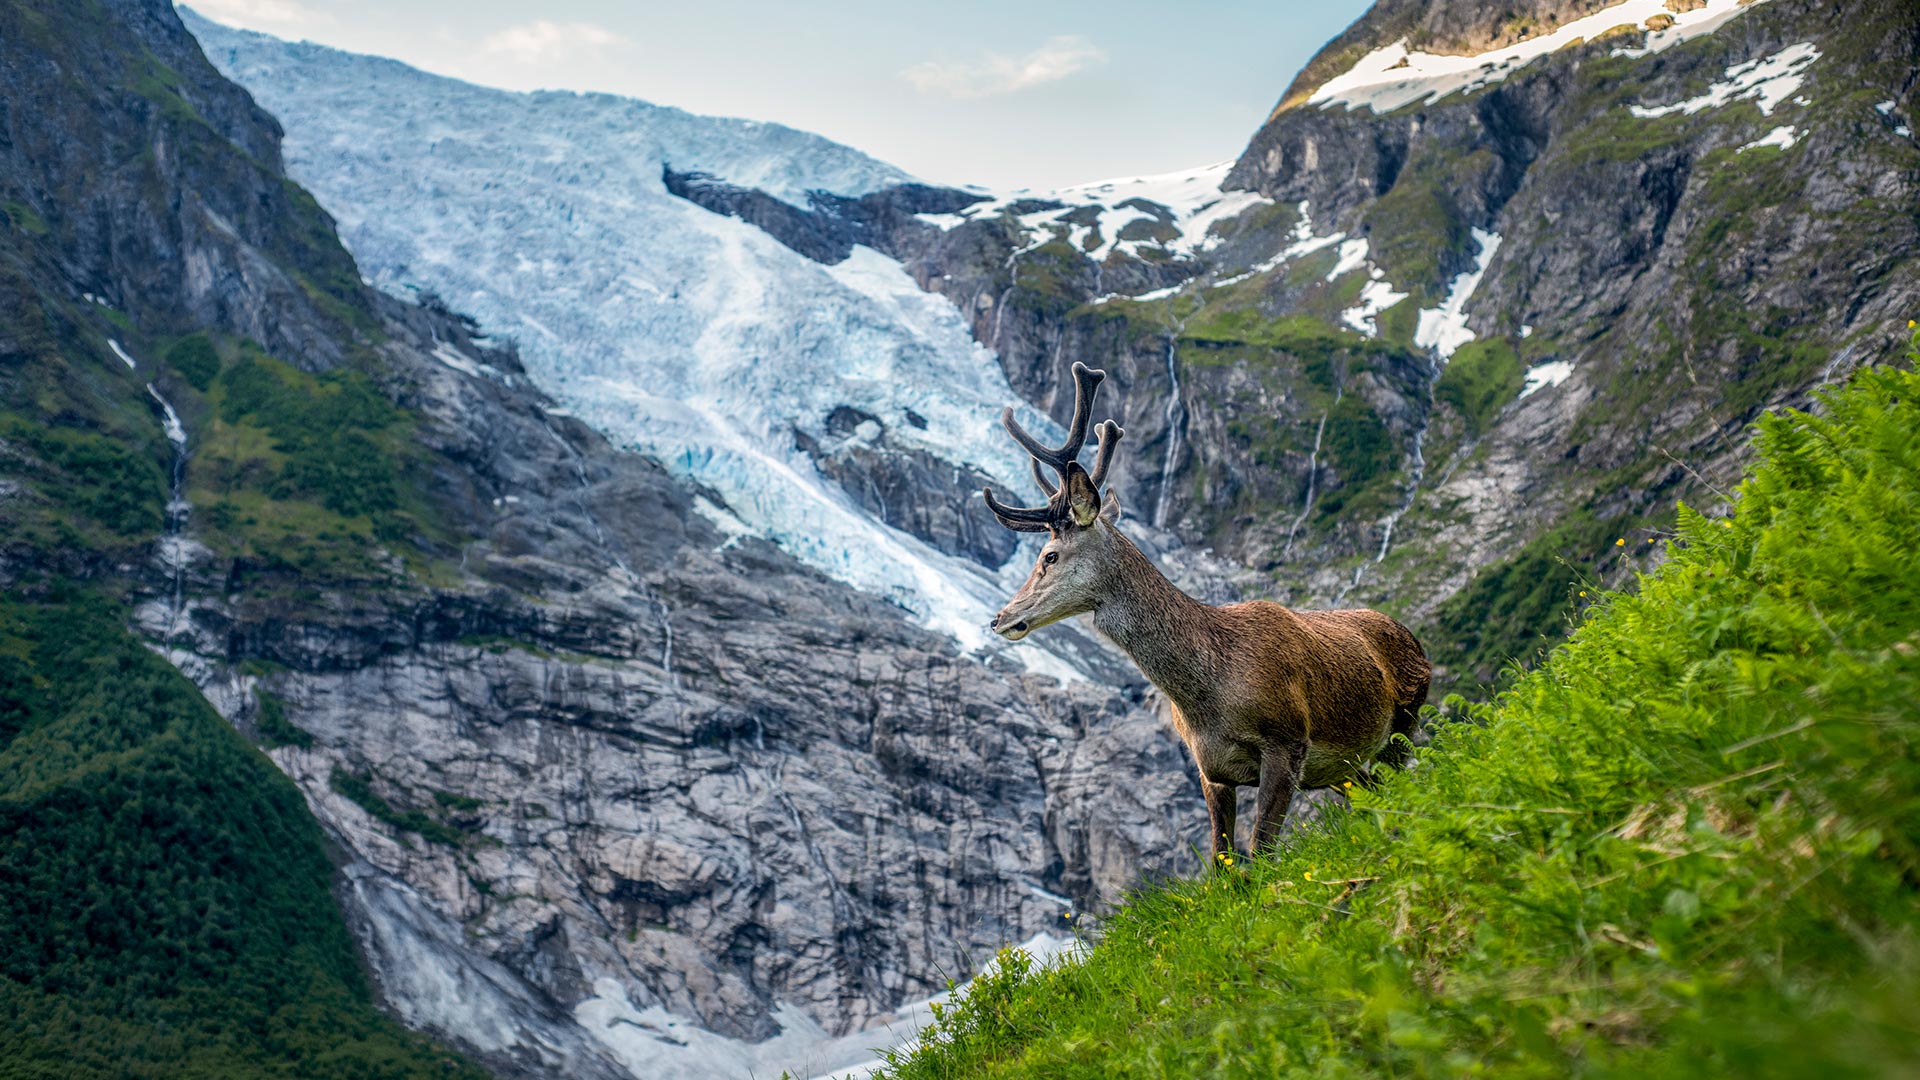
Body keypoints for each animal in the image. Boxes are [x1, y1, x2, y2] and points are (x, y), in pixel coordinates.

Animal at [990, 361, 1428, 864]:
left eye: (1049, 555)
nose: (999, 618)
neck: (1210, 694)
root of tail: (1413, 639)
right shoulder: (1211, 769)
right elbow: (1222, 865)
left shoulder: (1288, 742)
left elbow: (1261, 852)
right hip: (1346, 767)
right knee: (1375, 796)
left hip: (1405, 721)